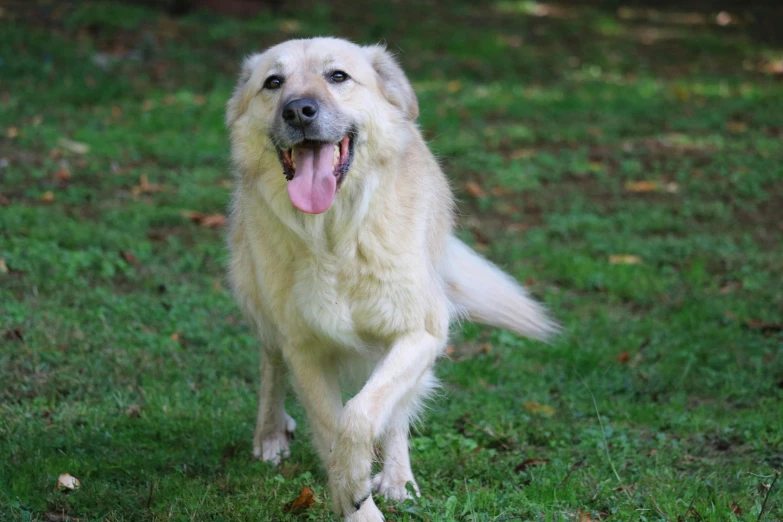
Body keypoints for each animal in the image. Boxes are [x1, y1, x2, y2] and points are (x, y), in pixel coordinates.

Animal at [225, 37, 556, 520]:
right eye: (273, 82)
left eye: (338, 76)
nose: (298, 111)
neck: (334, 237)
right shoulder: (303, 348)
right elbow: (330, 424)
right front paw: (355, 503)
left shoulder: (420, 333)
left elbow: (361, 414)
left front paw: (359, 482)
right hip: (259, 303)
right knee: (271, 365)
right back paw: (269, 433)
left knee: (394, 410)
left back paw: (398, 478)